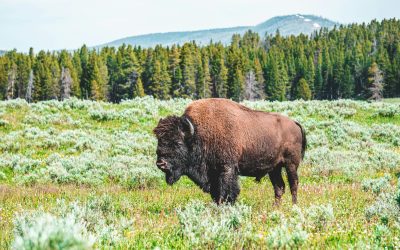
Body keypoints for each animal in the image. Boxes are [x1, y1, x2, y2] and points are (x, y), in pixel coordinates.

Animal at [153, 98, 306, 205]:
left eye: (178, 143)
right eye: (159, 141)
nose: (161, 164)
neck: (198, 133)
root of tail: (295, 123)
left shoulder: (227, 169)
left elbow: (226, 191)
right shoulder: (213, 174)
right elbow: (216, 193)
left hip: (291, 164)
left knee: (293, 184)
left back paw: (294, 206)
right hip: (274, 168)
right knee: (279, 187)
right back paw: (276, 207)